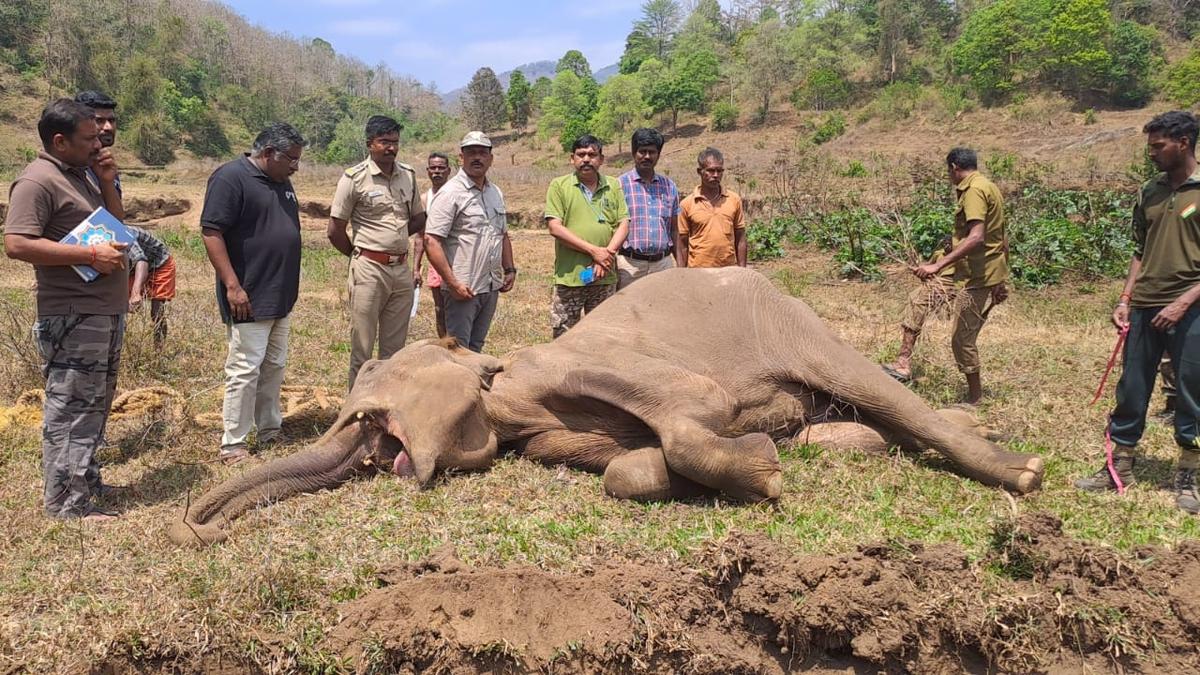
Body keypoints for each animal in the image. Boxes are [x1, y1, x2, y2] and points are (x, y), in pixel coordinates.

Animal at [168, 267, 1043, 547]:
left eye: (369, 406)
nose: (201, 519)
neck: (500, 379)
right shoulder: (546, 433)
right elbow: (623, 469)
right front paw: (710, 469)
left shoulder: (588, 362)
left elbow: (699, 406)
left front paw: (762, 475)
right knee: (856, 427)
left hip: (795, 323)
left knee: (877, 390)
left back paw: (1023, 469)